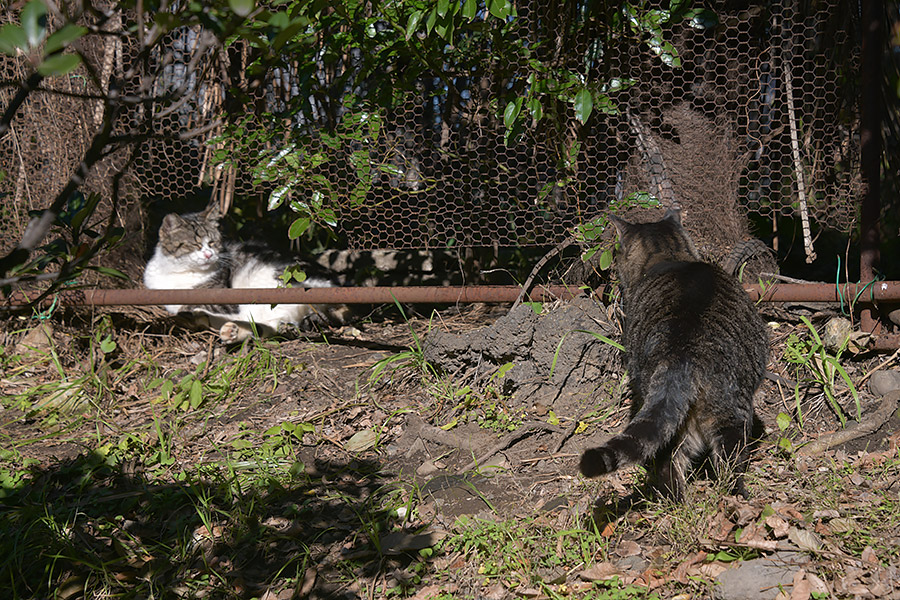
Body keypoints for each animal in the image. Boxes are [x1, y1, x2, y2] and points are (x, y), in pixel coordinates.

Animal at [146, 205, 346, 342]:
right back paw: (230, 330)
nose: (209, 254)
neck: (178, 272)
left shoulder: (223, 298)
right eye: (194, 244)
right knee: (267, 325)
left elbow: (185, 305)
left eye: (212, 242)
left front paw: (188, 312)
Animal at [584, 209, 768, 500]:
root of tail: (683, 353)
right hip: (731, 414)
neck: (668, 257)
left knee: (671, 462)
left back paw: (676, 503)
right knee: (726, 464)